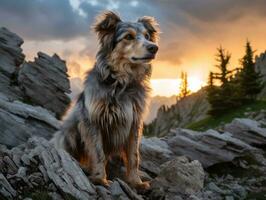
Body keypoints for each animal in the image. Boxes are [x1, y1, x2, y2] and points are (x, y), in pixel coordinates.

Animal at [53, 10, 159, 190]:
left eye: (147, 36)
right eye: (128, 37)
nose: (154, 48)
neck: (121, 82)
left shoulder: (134, 122)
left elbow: (133, 155)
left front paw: (136, 182)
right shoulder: (93, 120)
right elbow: (98, 152)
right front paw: (100, 179)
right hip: (69, 133)